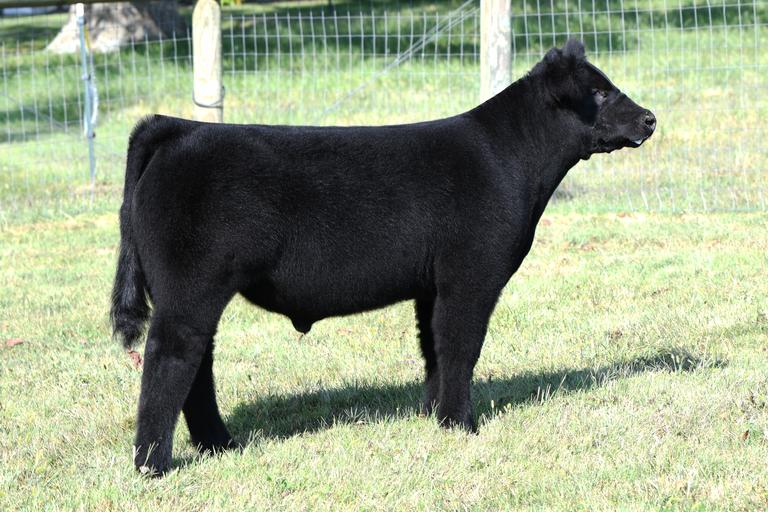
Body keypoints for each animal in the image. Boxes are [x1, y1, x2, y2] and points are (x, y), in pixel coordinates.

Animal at [111, 39, 655, 474]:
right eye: (599, 93)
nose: (649, 118)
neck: (509, 158)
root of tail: (178, 128)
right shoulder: (470, 274)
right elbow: (460, 346)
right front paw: (463, 424)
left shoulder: (431, 284)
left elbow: (432, 348)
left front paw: (435, 418)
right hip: (190, 287)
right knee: (170, 358)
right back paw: (153, 464)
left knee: (198, 364)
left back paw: (220, 445)